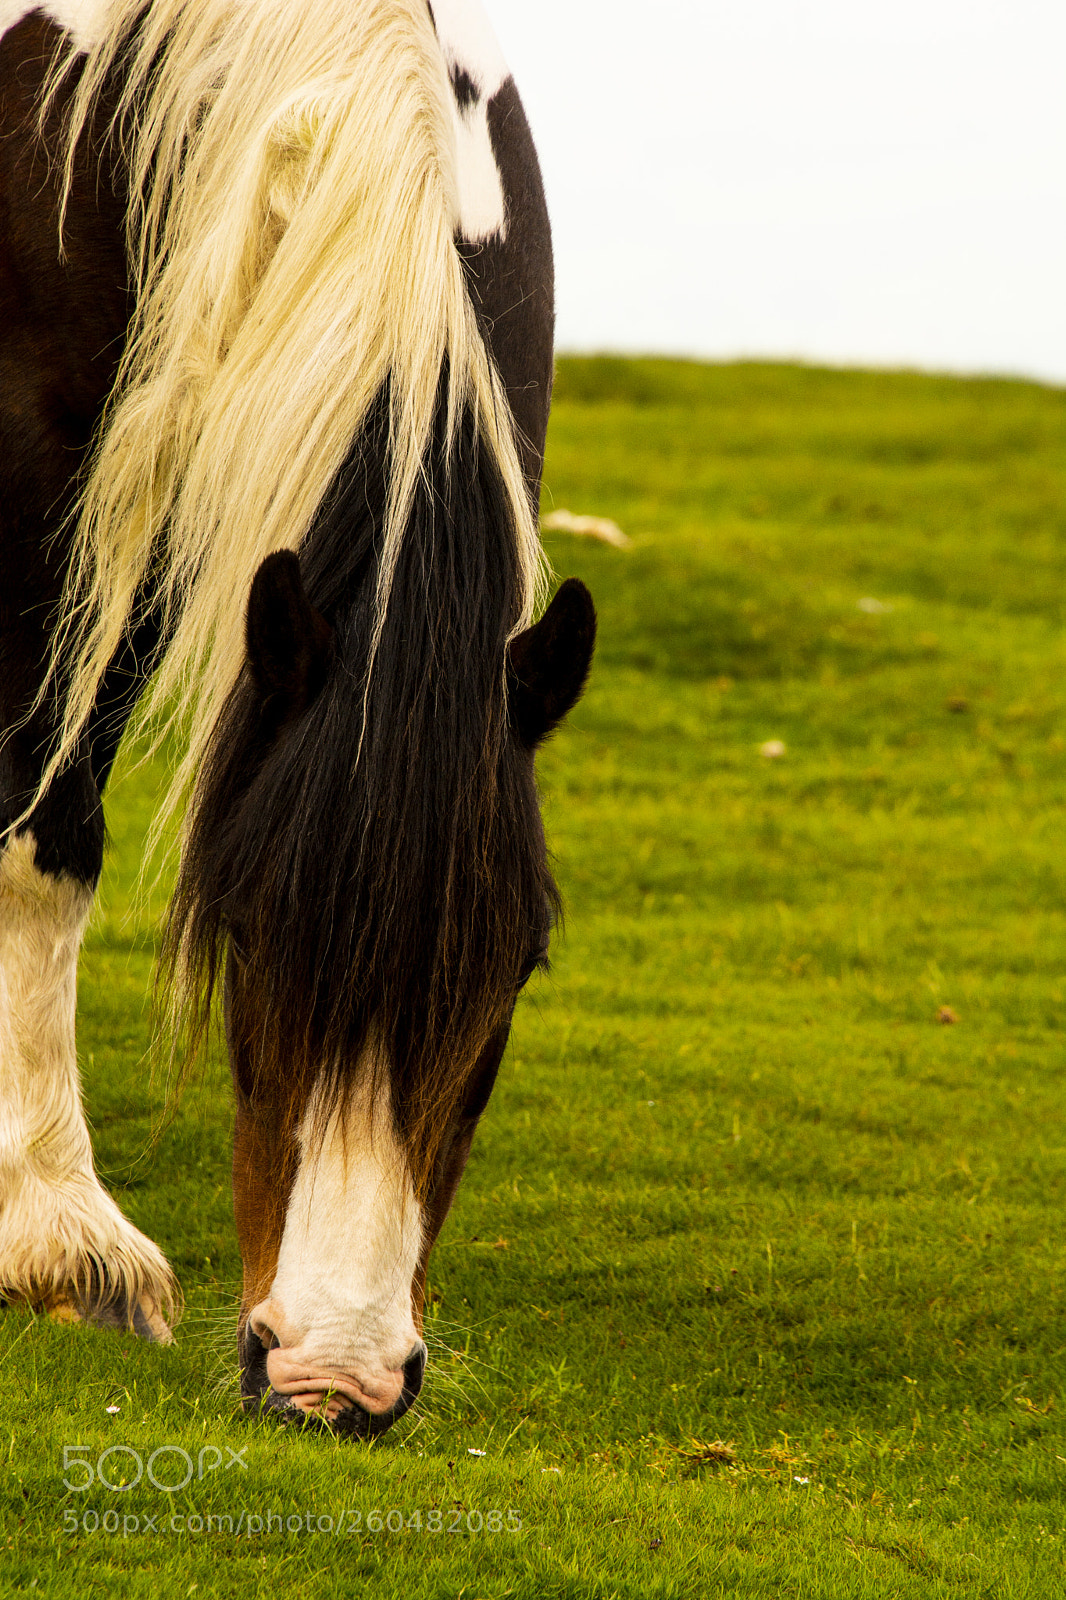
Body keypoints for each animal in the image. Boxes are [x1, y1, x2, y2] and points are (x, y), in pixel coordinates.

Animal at [0, 0, 595, 1437]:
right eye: (248, 932)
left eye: (516, 967)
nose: (332, 1377)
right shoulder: (56, 482)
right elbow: (44, 830)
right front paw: (57, 1231)